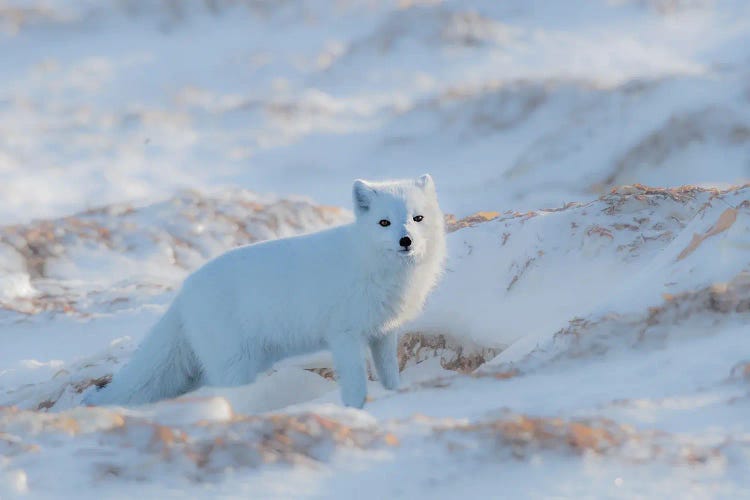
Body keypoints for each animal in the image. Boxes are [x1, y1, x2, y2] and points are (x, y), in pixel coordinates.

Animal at [82, 174, 446, 408]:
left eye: (417, 218)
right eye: (384, 223)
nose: (406, 240)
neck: (374, 265)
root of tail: (184, 293)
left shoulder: (383, 333)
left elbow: (390, 375)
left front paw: (395, 396)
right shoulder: (344, 335)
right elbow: (355, 384)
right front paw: (358, 411)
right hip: (236, 365)